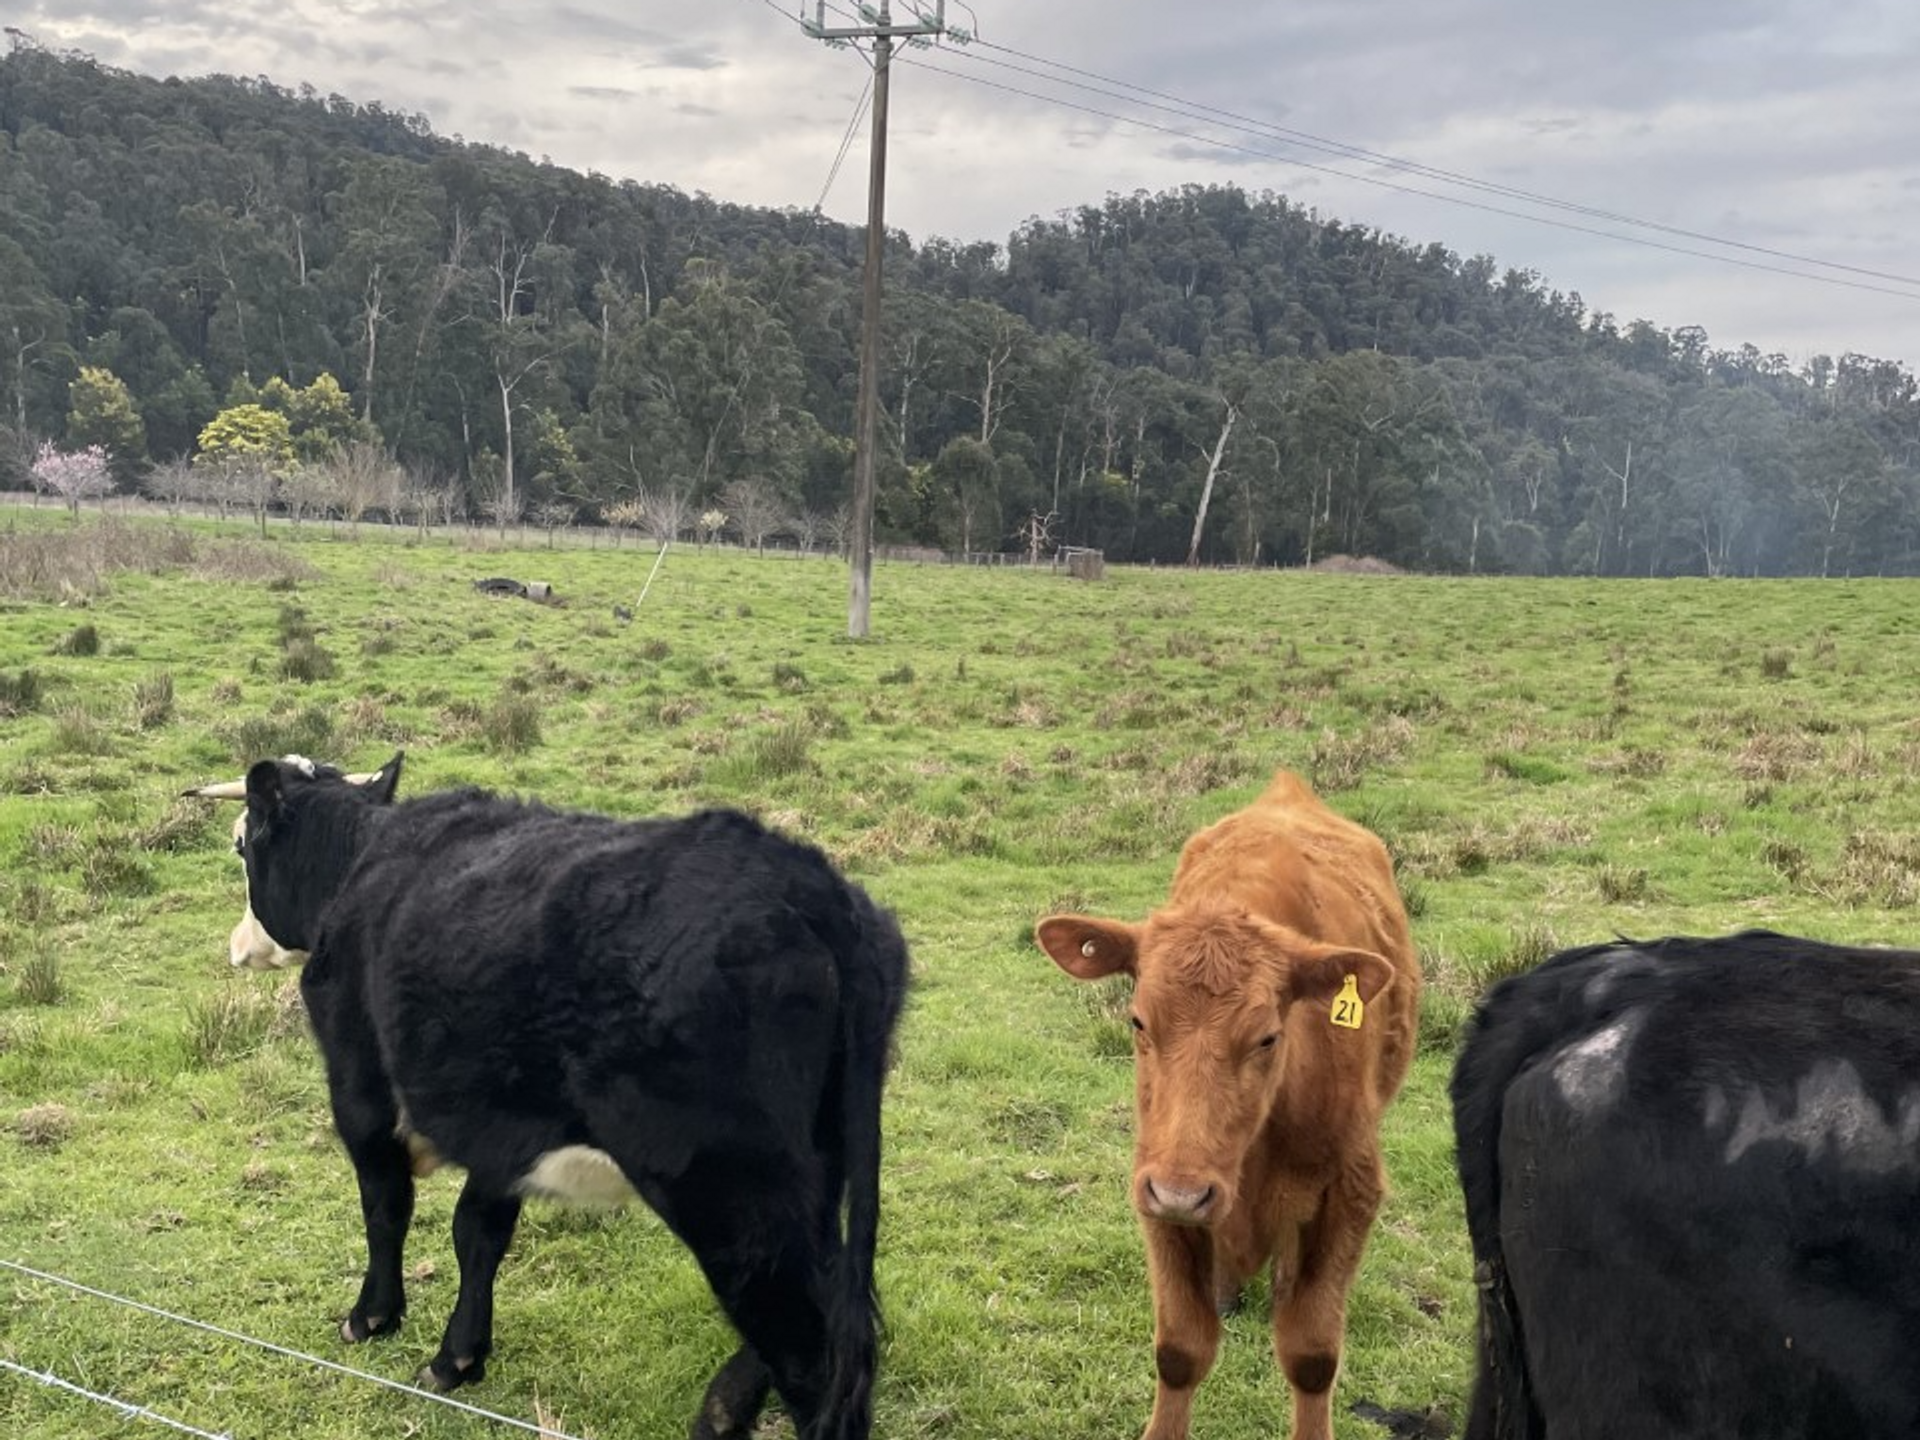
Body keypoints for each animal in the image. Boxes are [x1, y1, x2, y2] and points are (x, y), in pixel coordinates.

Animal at [191, 756, 910, 1440]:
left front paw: (372, 1319)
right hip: (815, 1173)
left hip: (729, 1194)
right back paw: (720, 1413)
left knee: (809, 1350)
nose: (236, 945)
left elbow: (386, 1205)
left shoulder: (359, 1087)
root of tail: (811, 888)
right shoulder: (500, 1127)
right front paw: (460, 1358)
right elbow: (478, 1232)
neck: (361, 866)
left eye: (240, 846)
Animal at [1044, 771, 1420, 1436]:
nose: (1185, 1193)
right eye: (1138, 1020)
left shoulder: (1351, 1190)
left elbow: (1312, 1356)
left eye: (1268, 1036)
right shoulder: (1155, 1182)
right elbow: (1180, 1351)